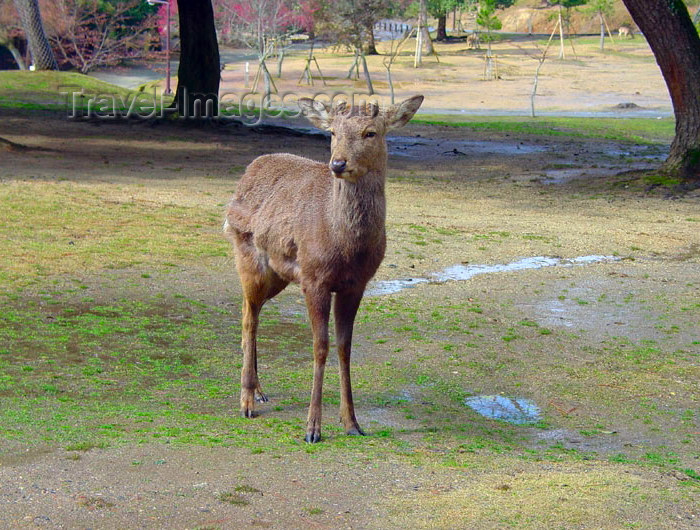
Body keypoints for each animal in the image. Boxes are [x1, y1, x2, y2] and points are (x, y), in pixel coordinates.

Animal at [224, 95, 424, 442]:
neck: (345, 246)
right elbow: (320, 346)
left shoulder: (356, 284)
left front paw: (352, 423)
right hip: (248, 255)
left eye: (371, 132)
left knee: (250, 311)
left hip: (278, 274)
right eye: (331, 132)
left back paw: (260, 391)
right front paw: (312, 428)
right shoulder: (314, 277)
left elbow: (345, 347)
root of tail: (247, 172)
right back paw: (247, 401)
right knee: (249, 318)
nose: (338, 164)